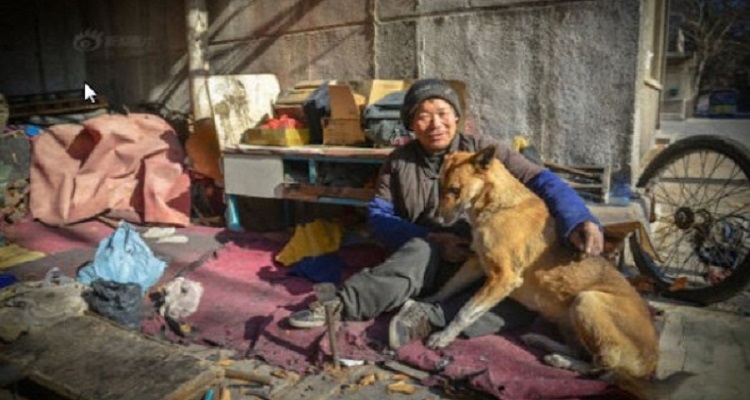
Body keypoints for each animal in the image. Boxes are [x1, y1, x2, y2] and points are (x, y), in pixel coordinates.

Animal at [426, 147, 660, 388]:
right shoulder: (476, 263)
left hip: (586, 300)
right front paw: (427, 300)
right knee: (581, 352)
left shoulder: (503, 278)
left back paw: (561, 361)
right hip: (568, 319)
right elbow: (447, 288)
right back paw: (541, 341)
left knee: (602, 366)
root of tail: (651, 361)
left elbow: (465, 312)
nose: (434, 221)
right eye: (440, 187)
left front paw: (443, 337)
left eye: (455, 189)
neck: (496, 205)